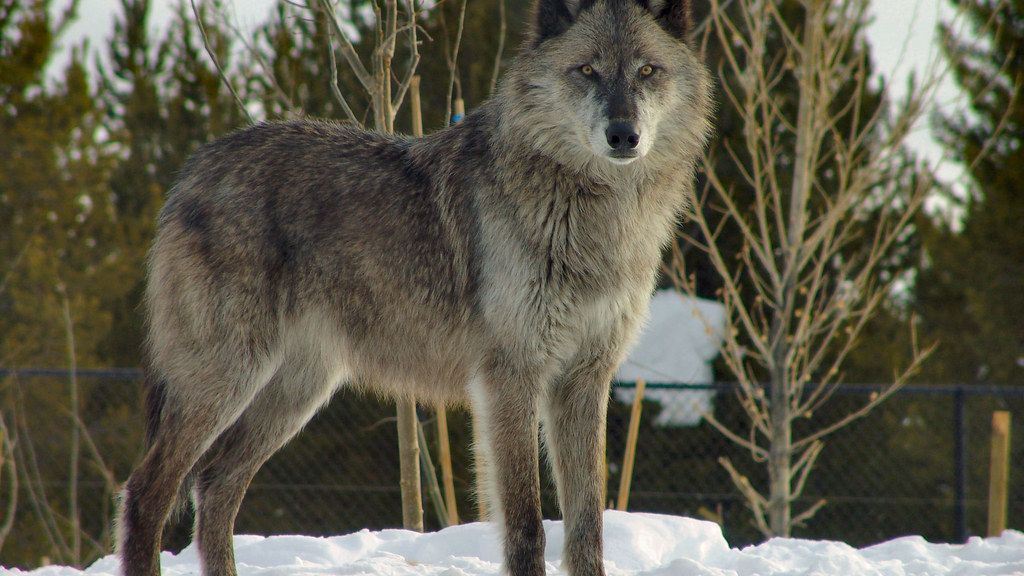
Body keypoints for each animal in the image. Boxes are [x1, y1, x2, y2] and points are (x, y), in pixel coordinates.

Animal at [118, 0, 711, 574]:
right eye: (587, 70)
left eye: (647, 71)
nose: (624, 135)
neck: (591, 216)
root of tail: (193, 170)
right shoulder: (511, 379)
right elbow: (526, 527)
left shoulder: (584, 380)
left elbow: (588, 528)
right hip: (229, 379)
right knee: (147, 491)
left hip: (294, 393)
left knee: (214, 487)